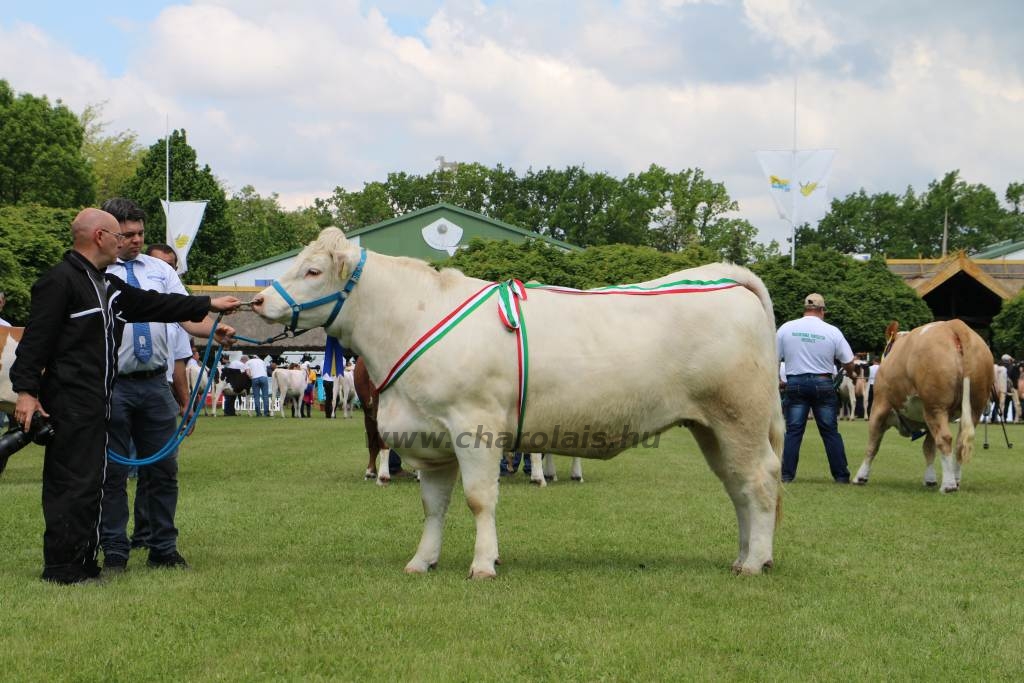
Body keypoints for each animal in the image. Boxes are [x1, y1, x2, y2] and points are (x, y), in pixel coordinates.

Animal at [856, 321, 991, 491]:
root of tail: (954, 325)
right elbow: (929, 448)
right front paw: (930, 478)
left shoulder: (879, 407)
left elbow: (872, 445)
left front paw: (861, 476)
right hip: (973, 408)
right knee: (960, 443)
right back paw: (956, 480)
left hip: (935, 406)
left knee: (945, 438)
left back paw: (948, 485)